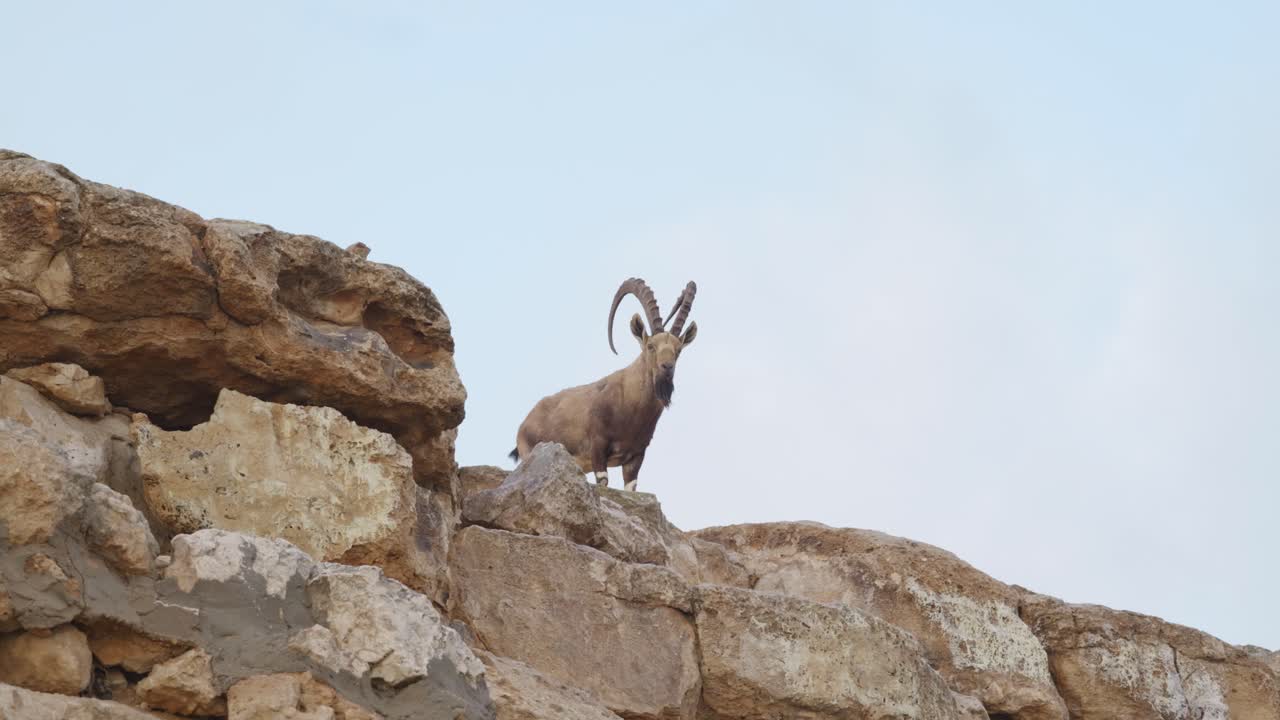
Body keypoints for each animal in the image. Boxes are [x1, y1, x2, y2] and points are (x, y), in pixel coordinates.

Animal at [509, 278, 698, 491]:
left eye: (678, 350)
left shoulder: (636, 455)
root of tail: (525, 423)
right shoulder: (598, 447)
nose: (667, 367)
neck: (630, 405)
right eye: (651, 346)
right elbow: (603, 481)